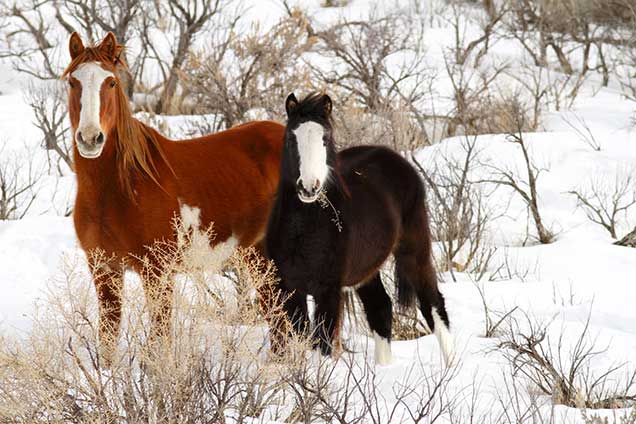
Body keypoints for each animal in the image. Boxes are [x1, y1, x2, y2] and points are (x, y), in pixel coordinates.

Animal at [62, 31, 284, 360]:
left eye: (111, 82)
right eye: (72, 82)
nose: (91, 138)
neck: (120, 187)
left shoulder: (158, 273)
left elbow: (159, 342)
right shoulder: (104, 270)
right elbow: (108, 342)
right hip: (257, 255)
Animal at [266, 94, 454, 366]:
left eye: (325, 139)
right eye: (292, 138)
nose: (309, 187)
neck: (307, 231)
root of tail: (396, 158)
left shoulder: (328, 290)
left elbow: (323, 342)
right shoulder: (290, 288)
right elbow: (300, 337)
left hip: (414, 249)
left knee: (433, 304)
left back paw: (452, 366)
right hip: (367, 271)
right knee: (380, 308)